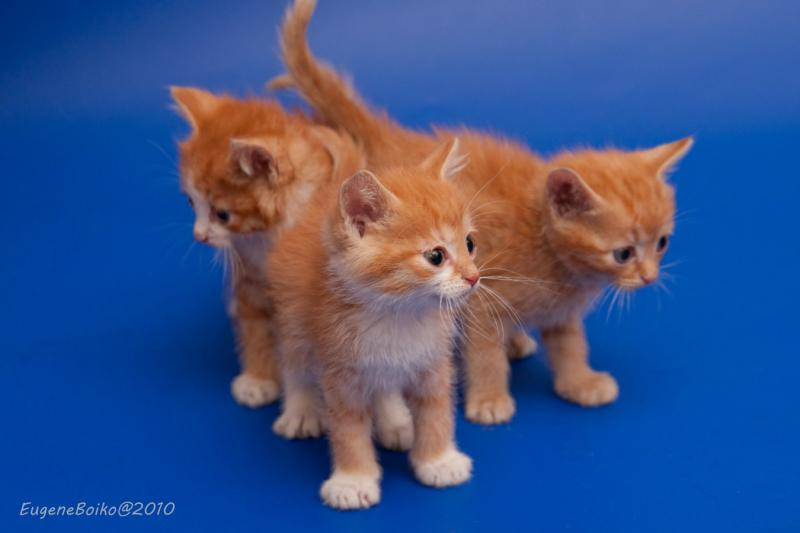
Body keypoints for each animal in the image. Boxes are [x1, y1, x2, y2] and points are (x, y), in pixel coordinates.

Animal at [171, 86, 357, 408]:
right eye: (191, 202)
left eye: (222, 214)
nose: (199, 236)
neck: (266, 240)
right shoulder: (250, 280)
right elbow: (256, 327)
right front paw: (258, 379)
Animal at [267, 138, 478, 509]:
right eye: (436, 256)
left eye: (470, 243)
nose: (474, 277)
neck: (398, 314)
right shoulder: (340, 370)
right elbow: (348, 429)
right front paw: (352, 481)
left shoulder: (432, 362)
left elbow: (436, 411)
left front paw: (438, 461)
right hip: (292, 317)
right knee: (295, 364)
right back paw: (301, 411)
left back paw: (394, 421)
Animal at [271, 0, 693, 424]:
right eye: (623, 253)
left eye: (662, 243)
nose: (650, 277)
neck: (544, 242)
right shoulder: (484, 298)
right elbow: (485, 353)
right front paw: (490, 399)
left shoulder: (558, 312)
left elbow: (570, 346)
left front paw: (580, 382)